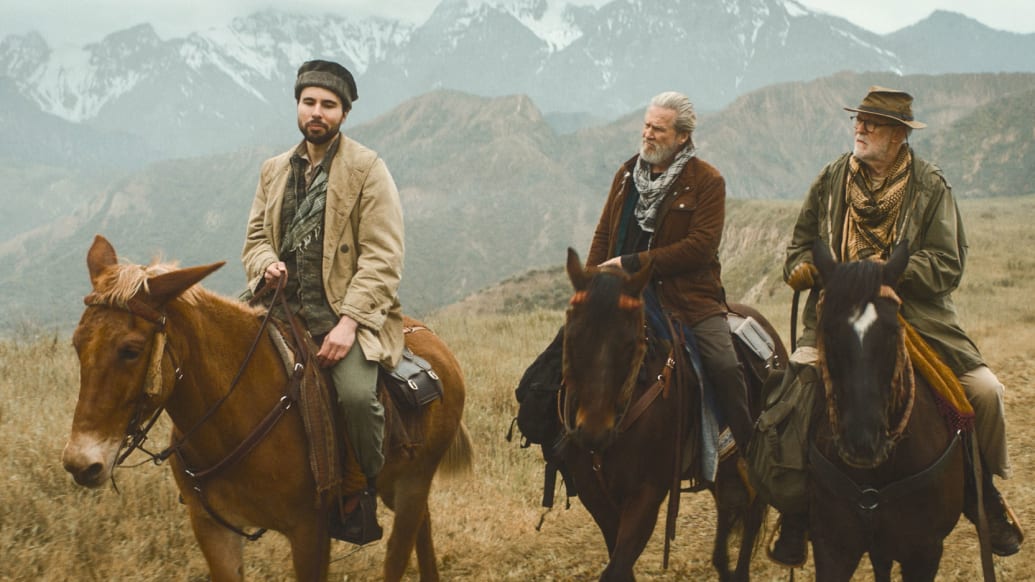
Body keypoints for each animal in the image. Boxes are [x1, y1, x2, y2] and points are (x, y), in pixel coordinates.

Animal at [60, 233, 474, 575]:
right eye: (77, 343)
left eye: (130, 351)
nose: (81, 463)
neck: (233, 419)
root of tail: (437, 345)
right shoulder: (213, 530)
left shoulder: (310, 532)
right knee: (424, 525)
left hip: (412, 483)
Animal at [558, 246, 782, 575]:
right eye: (572, 337)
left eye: (631, 343)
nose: (593, 432)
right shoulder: (596, 497)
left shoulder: (646, 495)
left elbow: (617, 568)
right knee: (727, 505)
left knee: (752, 509)